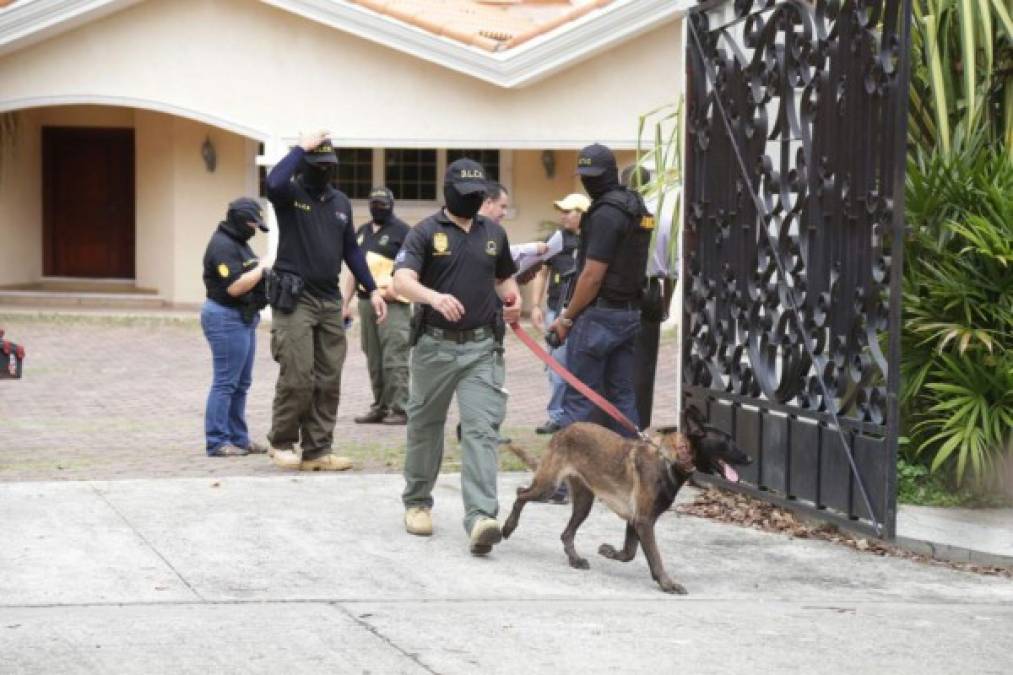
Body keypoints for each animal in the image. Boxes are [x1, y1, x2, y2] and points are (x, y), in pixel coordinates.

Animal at [500, 413, 749, 591]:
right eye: (727, 441)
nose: (750, 458)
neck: (672, 458)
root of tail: (565, 429)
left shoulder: (635, 520)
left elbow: (629, 553)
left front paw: (610, 552)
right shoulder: (644, 522)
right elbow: (654, 557)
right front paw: (667, 583)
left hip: (583, 502)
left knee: (566, 533)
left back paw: (575, 559)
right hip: (547, 487)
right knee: (520, 493)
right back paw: (508, 527)